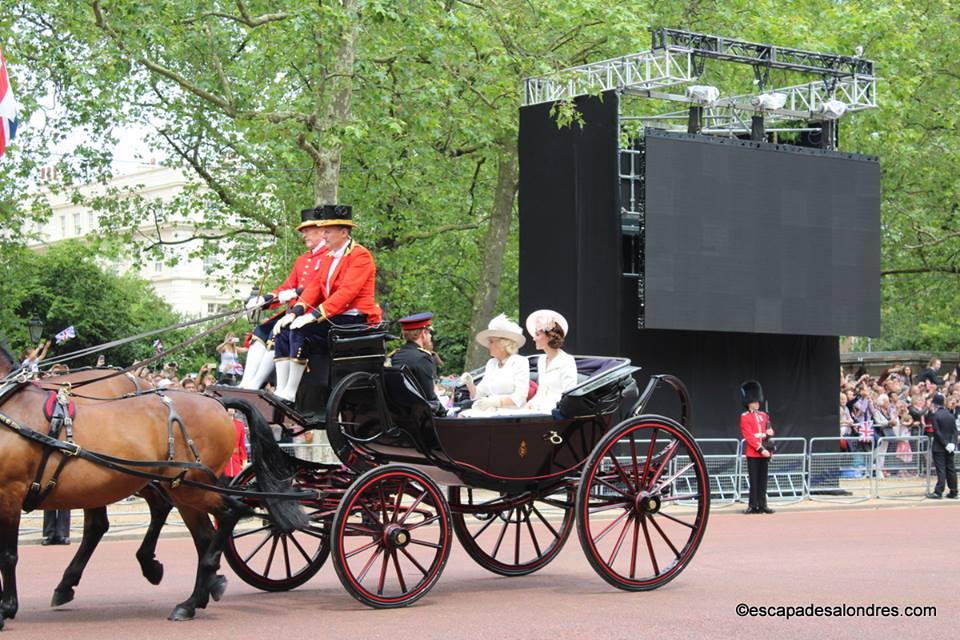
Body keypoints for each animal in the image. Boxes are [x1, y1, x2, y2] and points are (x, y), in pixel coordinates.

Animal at [0, 348, 306, 628]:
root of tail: (215, 401)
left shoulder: (10, 491)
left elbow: (8, 554)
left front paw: (6, 608)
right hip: (174, 486)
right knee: (204, 532)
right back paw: (195, 595)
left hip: (185, 488)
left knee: (229, 513)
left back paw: (191, 592)